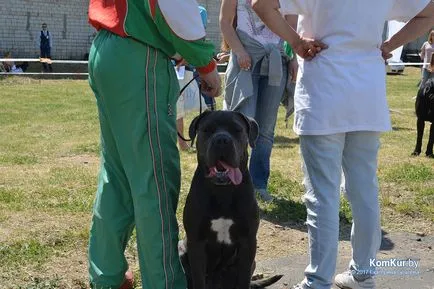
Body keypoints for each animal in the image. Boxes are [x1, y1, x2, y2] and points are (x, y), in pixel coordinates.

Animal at [179, 110, 284, 288]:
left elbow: (243, 278)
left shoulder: (248, 242)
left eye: (237, 130)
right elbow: (198, 278)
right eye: (207, 130)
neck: (224, 191)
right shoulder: (196, 242)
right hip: (181, 247)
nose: (222, 140)